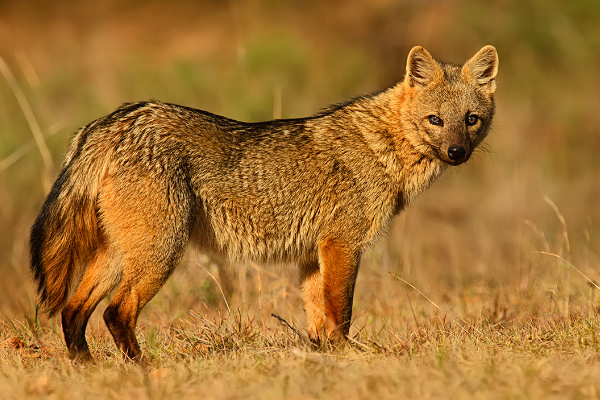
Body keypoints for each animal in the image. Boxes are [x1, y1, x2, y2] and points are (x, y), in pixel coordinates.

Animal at [29, 45, 496, 360]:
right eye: (435, 120)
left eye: (470, 120)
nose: (457, 152)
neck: (382, 147)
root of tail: (116, 120)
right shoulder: (342, 246)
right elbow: (341, 314)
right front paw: (351, 358)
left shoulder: (312, 257)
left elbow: (319, 323)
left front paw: (327, 360)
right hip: (158, 255)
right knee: (115, 314)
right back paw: (142, 369)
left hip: (119, 256)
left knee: (73, 311)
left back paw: (87, 367)